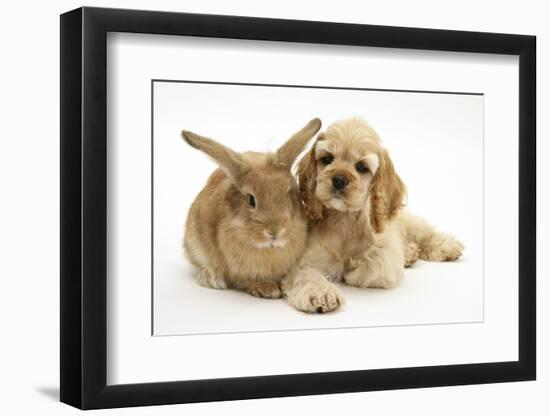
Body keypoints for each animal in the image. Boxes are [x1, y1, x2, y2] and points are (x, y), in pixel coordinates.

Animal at [284, 117, 466, 312]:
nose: (339, 179)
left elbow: (374, 261)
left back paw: (445, 246)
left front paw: (350, 267)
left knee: (423, 231)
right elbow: (307, 274)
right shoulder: (304, 260)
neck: (343, 220)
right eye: (327, 159)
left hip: (404, 221)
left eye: (361, 167)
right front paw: (321, 293)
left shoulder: (385, 252)